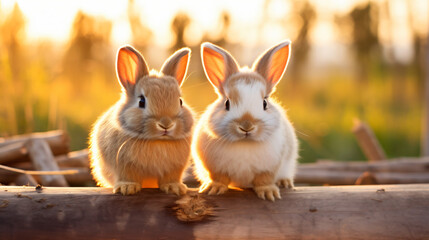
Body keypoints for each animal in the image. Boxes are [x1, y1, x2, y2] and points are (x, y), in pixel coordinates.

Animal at [90, 46, 194, 196]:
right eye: (141, 101)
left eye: (180, 101)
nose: (166, 124)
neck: (157, 141)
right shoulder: (124, 165)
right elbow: (127, 176)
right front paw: (127, 188)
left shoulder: (175, 168)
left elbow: (171, 178)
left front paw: (174, 188)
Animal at [193, 40, 298, 201]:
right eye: (227, 103)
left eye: (264, 103)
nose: (247, 126)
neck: (244, 143)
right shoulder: (214, 167)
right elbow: (218, 178)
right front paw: (213, 188)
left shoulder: (270, 167)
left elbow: (264, 180)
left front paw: (269, 193)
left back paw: (284, 182)